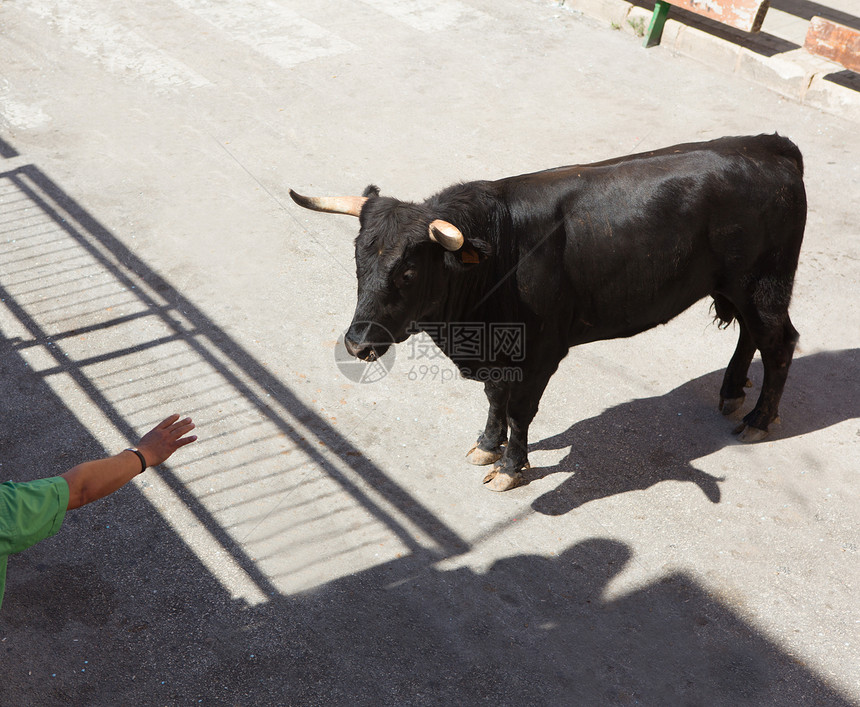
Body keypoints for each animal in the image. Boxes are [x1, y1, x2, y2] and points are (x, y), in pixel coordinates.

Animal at [294, 134, 808, 492]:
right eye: (359, 259)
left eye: (407, 272)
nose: (358, 344)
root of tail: (772, 146)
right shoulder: (498, 353)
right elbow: (495, 398)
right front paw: (487, 447)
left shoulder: (539, 352)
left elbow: (519, 409)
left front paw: (510, 467)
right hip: (740, 288)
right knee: (750, 335)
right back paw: (731, 392)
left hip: (765, 284)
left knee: (779, 343)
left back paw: (759, 420)